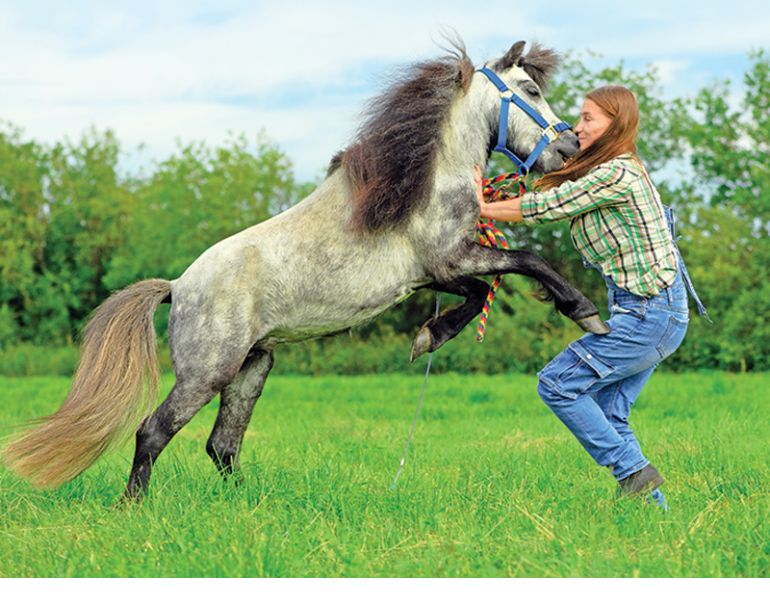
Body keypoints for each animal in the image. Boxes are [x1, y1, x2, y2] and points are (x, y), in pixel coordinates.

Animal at [2, 39, 609, 501]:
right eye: (530, 91)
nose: (568, 148)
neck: (424, 180)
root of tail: (177, 287)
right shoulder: (449, 257)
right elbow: (526, 263)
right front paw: (586, 314)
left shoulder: (438, 273)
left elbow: (480, 294)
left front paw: (427, 337)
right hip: (207, 372)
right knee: (153, 432)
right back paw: (134, 506)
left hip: (253, 367)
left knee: (222, 444)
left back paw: (246, 504)